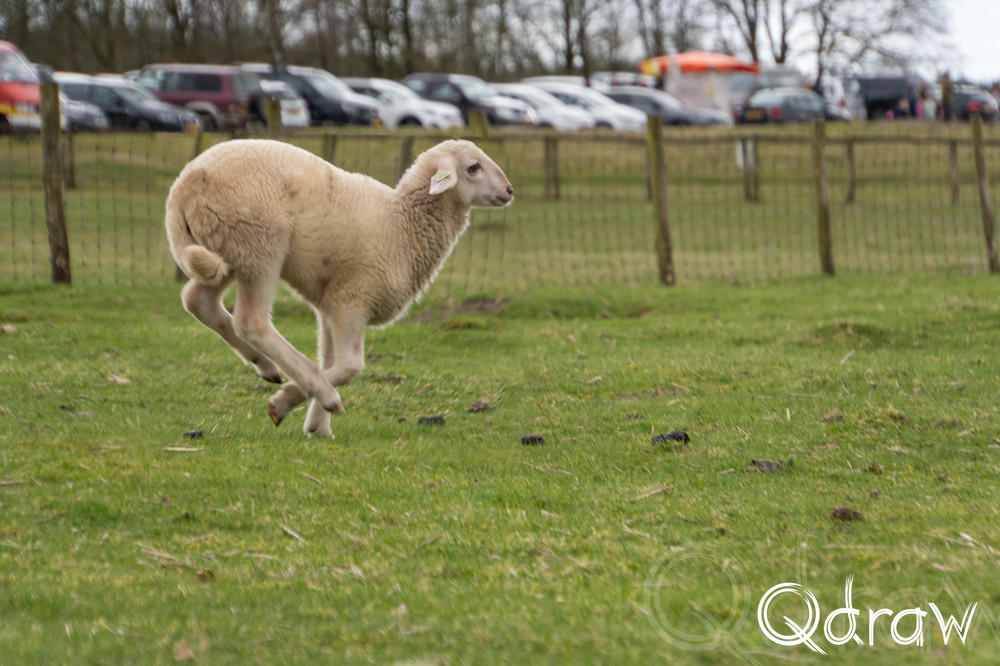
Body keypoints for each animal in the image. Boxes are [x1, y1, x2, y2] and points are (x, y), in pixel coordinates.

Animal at [165, 138, 513, 436]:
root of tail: (183, 185)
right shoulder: (353, 299)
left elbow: (331, 360)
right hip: (258, 242)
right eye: (473, 167)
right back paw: (316, 388)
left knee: (198, 300)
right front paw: (293, 401)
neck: (401, 225)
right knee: (251, 321)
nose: (510, 190)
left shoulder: (331, 303)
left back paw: (265, 365)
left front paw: (318, 427)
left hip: (222, 247)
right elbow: (349, 366)